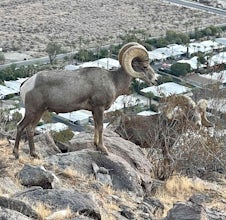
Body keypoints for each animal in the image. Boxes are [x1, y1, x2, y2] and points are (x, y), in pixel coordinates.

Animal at [13, 42, 156, 158]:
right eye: (144, 66)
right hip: (33, 111)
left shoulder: (94, 110)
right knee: (21, 126)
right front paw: (103, 149)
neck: (113, 81)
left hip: (39, 112)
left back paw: (34, 154)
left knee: (30, 129)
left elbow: (96, 127)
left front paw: (96, 145)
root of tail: (26, 84)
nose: (155, 80)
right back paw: (16, 154)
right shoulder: (99, 108)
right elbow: (100, 127)